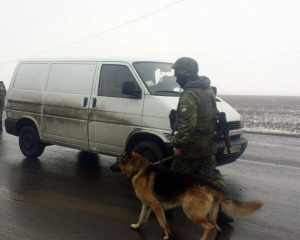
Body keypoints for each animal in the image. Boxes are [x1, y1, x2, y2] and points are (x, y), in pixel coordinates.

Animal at [110, 152, 262, 240]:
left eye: (117, 161)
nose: (111, 168)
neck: (139, 168)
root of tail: (209, 184)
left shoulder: (155, 205)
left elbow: (162, 223)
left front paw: (167, 236)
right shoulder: (148, 205)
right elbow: (142, 218)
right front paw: (137, 226)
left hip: (192, 212)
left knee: (209, 228)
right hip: (211, 215)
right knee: (218, 229)